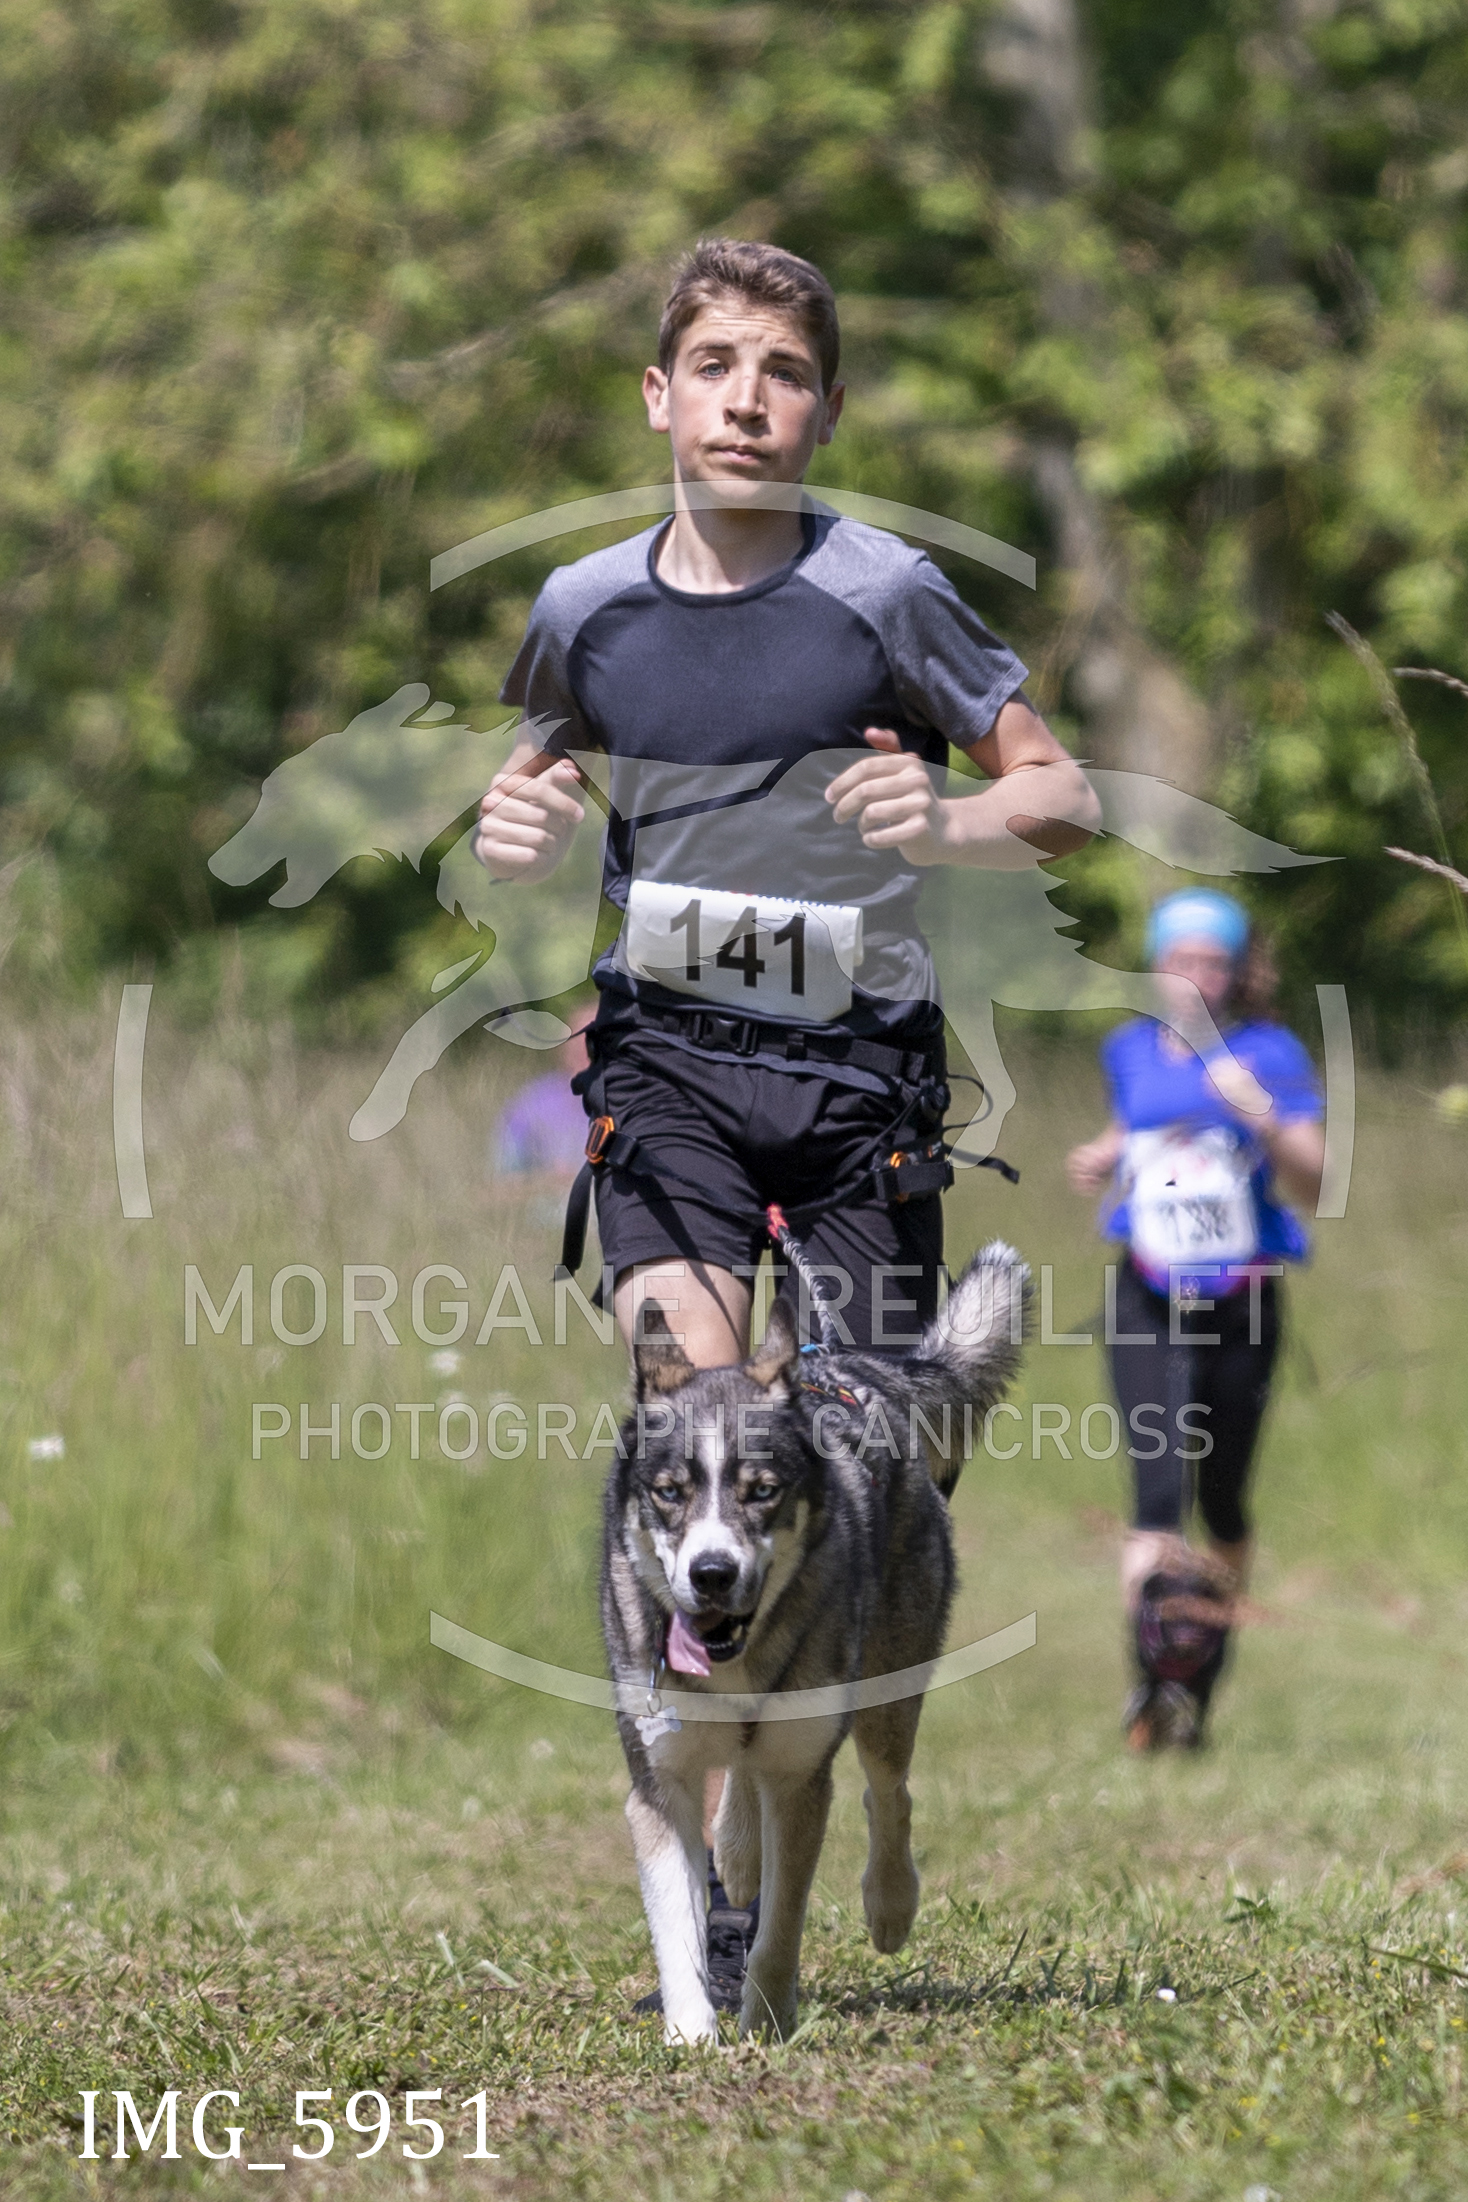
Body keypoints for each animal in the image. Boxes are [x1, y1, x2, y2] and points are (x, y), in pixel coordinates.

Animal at [601, 1240, 1030, 2044]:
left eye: (762, 1491)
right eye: (670, 1493)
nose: (711, 1574)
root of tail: (853, 1368)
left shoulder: (804, 1781)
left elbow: (781, 1927)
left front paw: (766, 2024)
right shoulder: (659, 1780)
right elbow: (677, 1926)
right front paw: (691, 2035)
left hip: (890, 1681)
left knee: (888, 1791)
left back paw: (889, 1905)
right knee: (745, 1787)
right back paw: (739, 1851)